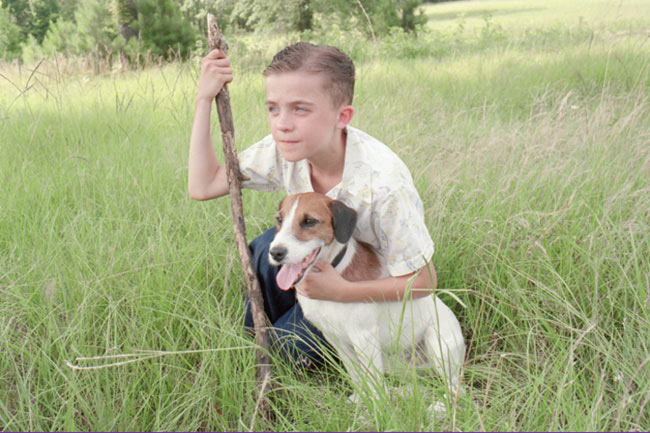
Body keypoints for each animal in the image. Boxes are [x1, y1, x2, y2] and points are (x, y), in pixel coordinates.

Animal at [266, 192, 464, 404]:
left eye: (309, 221)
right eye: (279, 219)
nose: (276, 253)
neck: (336, 268)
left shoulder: (364, 338)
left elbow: (373, 382)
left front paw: (375, 409)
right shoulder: (336, 338)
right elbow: (356, 376)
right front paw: (360, 401)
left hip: (438, 345)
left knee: (456, 389)